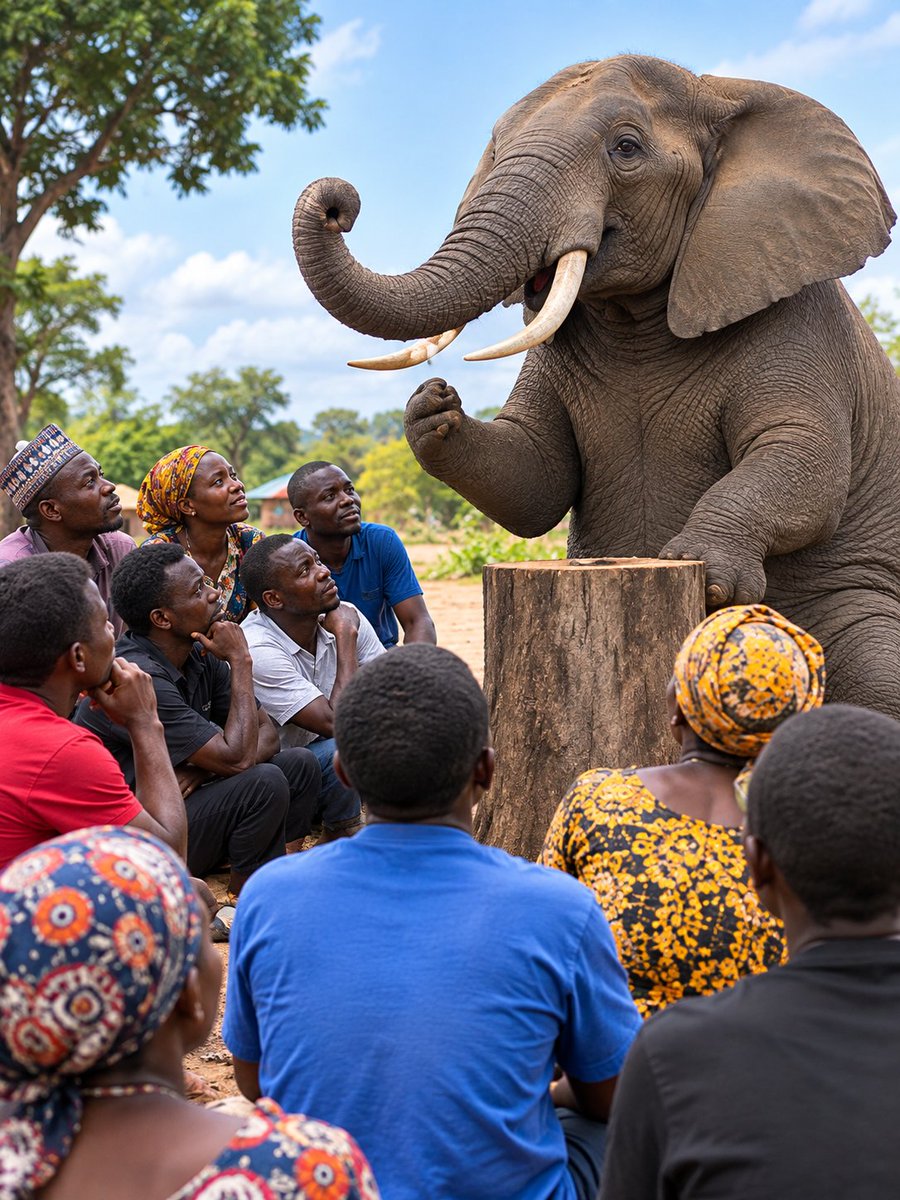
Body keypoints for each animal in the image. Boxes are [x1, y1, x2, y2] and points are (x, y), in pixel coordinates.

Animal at [292, 54, 900, 716]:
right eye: (496, 151)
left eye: (626, 149)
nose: (338, 204)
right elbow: (535, 477)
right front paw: (434, 406)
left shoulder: (793, 311)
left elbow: (803, 458)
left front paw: (707, 573)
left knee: (877, 679)